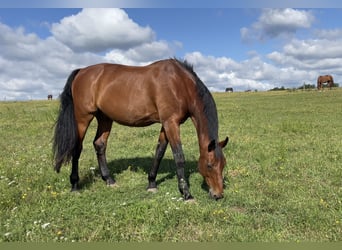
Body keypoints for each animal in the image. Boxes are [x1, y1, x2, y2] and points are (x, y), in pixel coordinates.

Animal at [52, 58, 228, 201]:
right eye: (210, 165)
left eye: (223, 165)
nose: (218, 194)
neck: (179, 84)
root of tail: (81, 71)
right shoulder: (171, 123)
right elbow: (179, 156)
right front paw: (186, 193)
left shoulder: (165, 124)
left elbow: (159, 152)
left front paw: (152, 184)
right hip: (83, 118)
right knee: (77, 148)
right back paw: (75, 185)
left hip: (105, 118)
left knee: (99, 144)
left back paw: (109, 180)